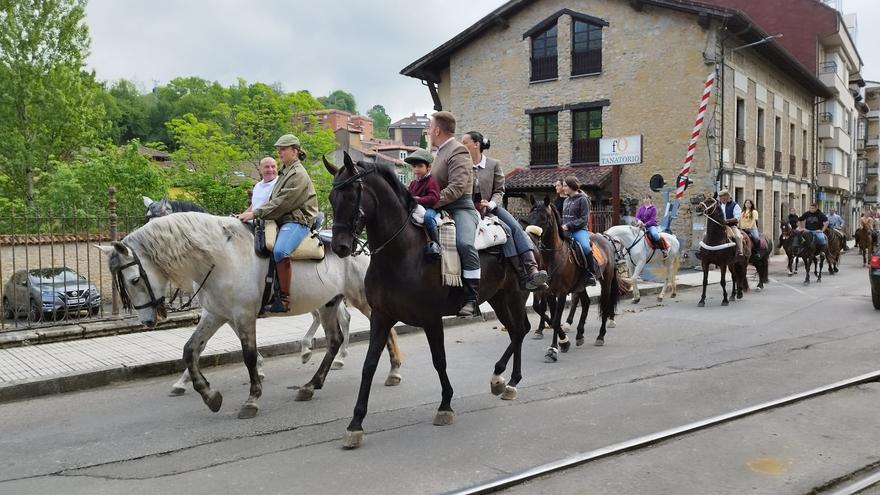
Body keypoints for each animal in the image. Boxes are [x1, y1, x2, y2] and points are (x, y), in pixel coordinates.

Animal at [97, 213, 402, 418]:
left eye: (134, 279)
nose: (148, 320)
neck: (220, 257)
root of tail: (363, 245)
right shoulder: (215, 315)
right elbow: (191, 350)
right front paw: (209, 395)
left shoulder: (242, 315)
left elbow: (250, 356)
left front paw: (252, 399)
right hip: (329, 303)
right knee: (335, 339)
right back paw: (311, 384)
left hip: (362, 300)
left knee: (383, 330)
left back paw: (394, 371)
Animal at [324, 154, 528, 450]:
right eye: (331, 197)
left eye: (352, 195)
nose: (339, 246)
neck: (402, 254)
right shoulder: (381, 317)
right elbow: (369, 365)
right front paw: (355, 424)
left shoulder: (431, 319)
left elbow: (439, 360)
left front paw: (445, 406)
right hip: (499, 298)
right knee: (515, 331)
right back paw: (502, 379)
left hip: (514, 295)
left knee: (521, 330)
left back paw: (509, 382)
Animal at [520, 199, 624, 364]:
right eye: (530, 215)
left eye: (544, 217)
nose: (531, 237)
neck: (553, 257)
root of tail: (606, 240)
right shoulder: (548, 292)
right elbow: (548, 314)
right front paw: (563, 341)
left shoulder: (561, 293)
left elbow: (556, 319)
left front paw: (553, 349)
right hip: (580, 286)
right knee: (586, 302)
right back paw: (580, 334)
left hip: (606, 282)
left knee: (605, 304)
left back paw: (600, 336)